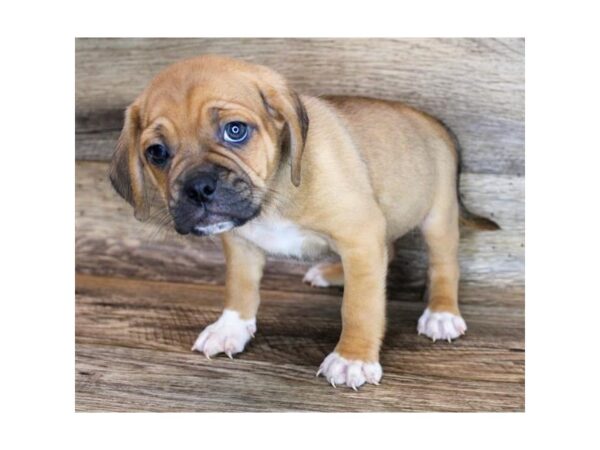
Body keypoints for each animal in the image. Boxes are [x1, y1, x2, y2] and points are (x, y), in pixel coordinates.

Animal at [108, 53, 496, 390]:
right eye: (157, 152)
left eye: (235, 131)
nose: (199, 188)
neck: (273, 194)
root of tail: (435, 122)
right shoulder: (241, 243)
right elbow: (239, 287)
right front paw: (231, 327)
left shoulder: (360, 233)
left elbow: (360, 306)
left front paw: (353, 357)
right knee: (389, 253)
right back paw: (334, 272)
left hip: (438, 217)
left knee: (443, 266)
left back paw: (441, 312)